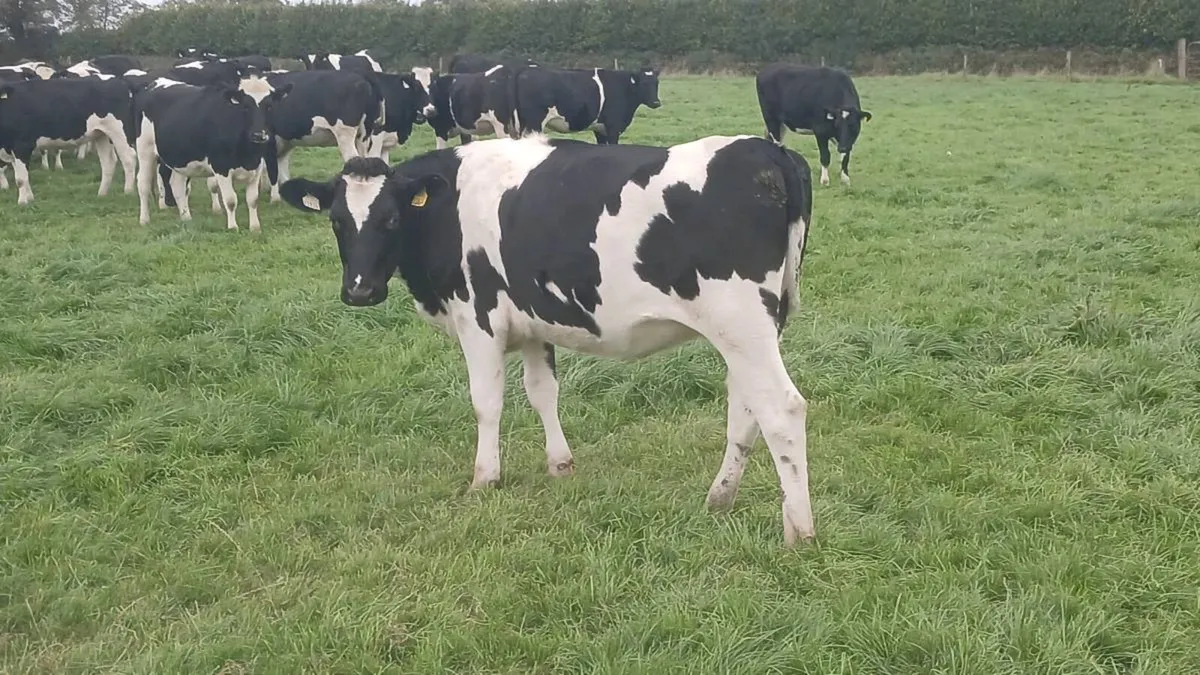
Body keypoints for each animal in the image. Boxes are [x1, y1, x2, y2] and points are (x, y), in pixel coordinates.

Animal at [0, 77, 137, 205]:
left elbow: (20, 179)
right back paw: (102, 194)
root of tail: (120, 81)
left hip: (119, 131)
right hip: (101, 134)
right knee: (108, 162)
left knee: (128, 158)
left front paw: (22, 202)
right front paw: (29, 198)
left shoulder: (22, 145)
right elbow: (23, 175)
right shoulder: (11, 150)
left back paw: (128, 192)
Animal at [134, 75, 292, 231]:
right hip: (145, 150)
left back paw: (186, 218)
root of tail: (155, 82)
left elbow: (253, 199)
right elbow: (230, 200)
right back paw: (144, 220)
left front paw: (255, 227)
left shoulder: (257, 166)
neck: (247, 154)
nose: (259, 135)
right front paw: (233, 227)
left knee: (177, 186)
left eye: (269, 107)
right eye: (246, 107)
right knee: (143, 184)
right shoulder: (221, 167)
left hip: (180, 159)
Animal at [261, 69, 382, 202]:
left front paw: (275, 198)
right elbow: (281, 166)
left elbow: (273, 168)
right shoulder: (284, 140)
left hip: (345, 134)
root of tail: (361, 76)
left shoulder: (269, 138)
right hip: (364, 135)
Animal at [277, 133, 817, 546]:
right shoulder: (534, 323)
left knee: (781, 409)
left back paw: (799, 531)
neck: (447, 205)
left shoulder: (479, 318)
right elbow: (542, 393)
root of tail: (767, 150)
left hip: (739, 323)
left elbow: (486, 402)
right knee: (746, 408)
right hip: (754, 328)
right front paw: (560, 464)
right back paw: (720, 497)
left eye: (391, 218)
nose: (359, 291)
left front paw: (485, 478)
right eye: (337, 221)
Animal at [512, 66, 661, 145]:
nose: (656, 102)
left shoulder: (600, 129)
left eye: (657, 83)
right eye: (643, 84)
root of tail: (524, 72)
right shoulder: (613, 127)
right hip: (534, 124)